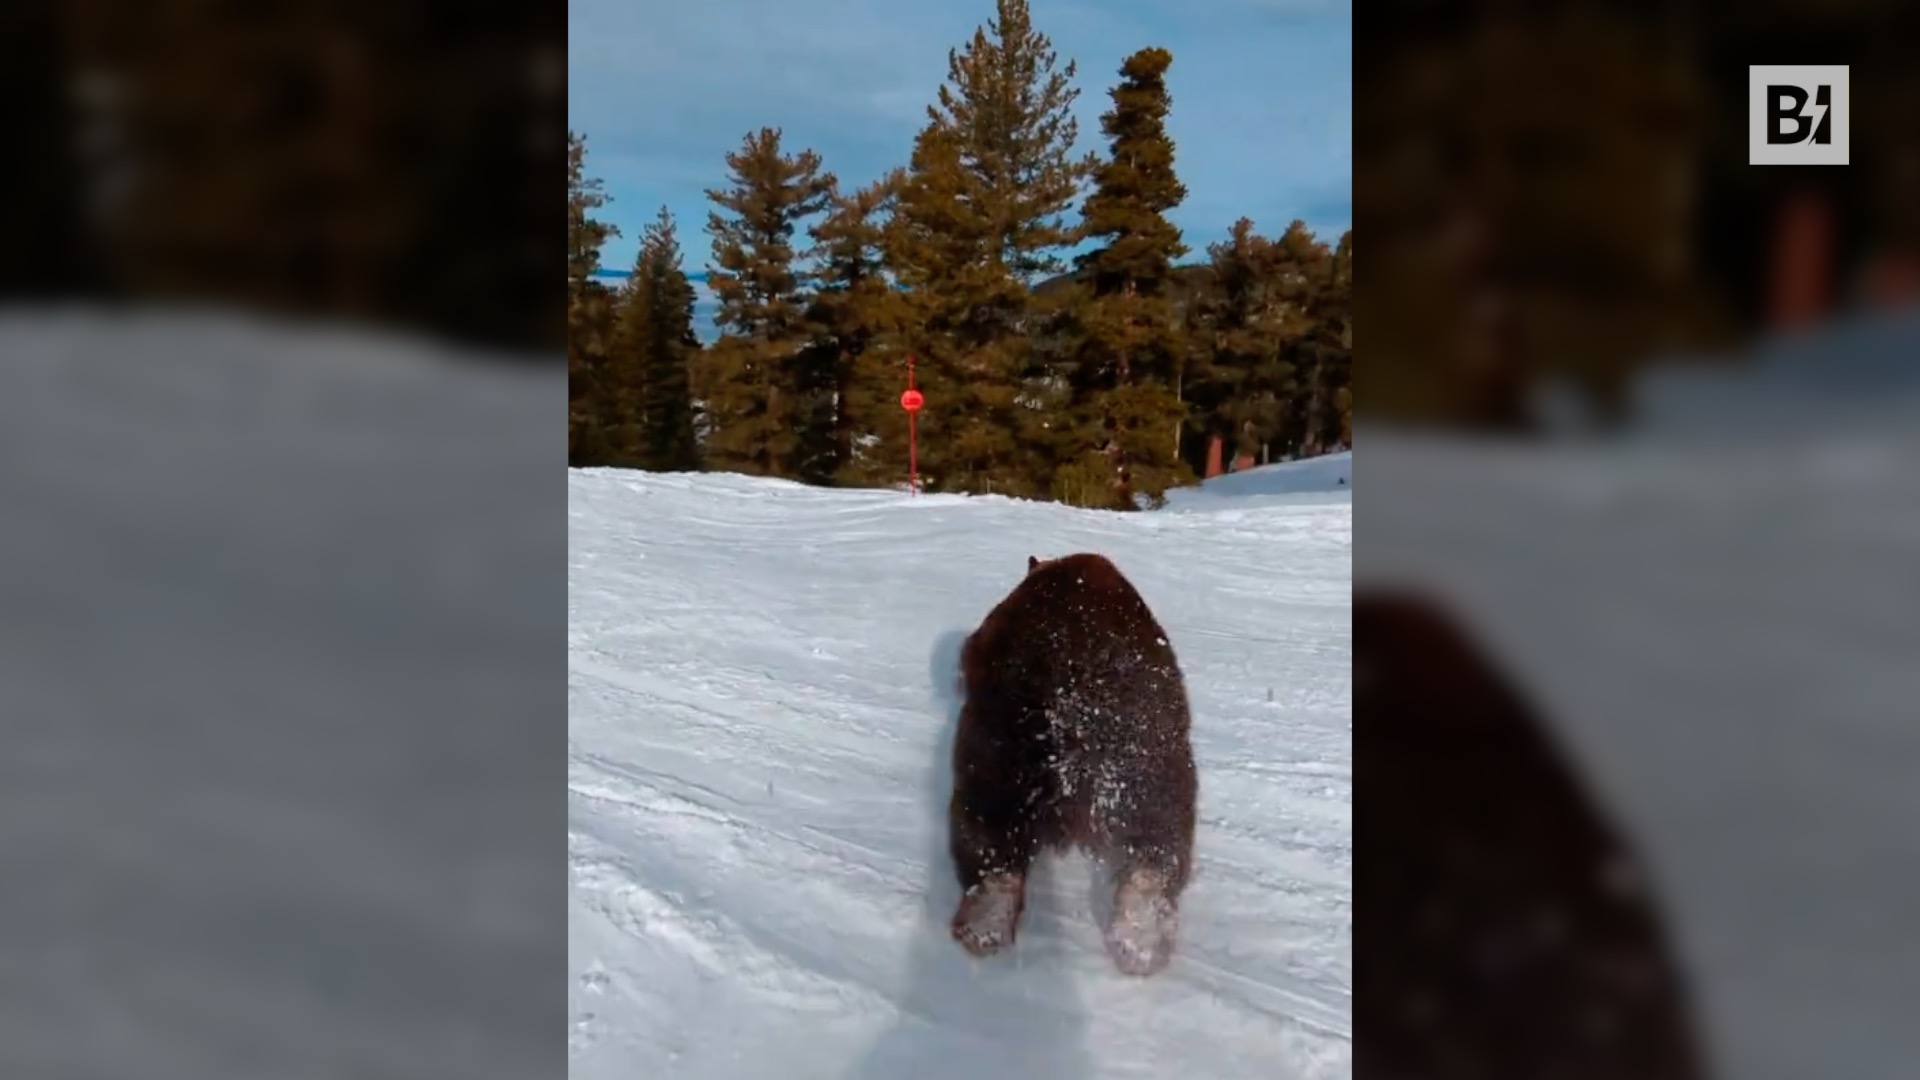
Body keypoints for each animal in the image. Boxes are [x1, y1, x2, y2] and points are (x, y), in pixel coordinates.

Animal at [948, 552, 1199, 976]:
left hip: (996, 754)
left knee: (987, 837)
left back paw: (982, 928)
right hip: (1154, 774)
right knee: (1159, 850)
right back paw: (1140, 941)